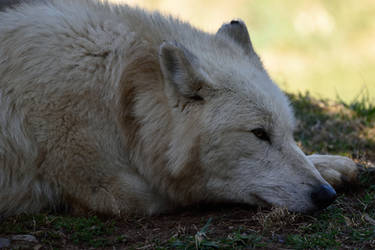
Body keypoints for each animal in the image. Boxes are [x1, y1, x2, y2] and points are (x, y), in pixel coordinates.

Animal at [0, 0, 358, 217]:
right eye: (259, 134)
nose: (325, 195)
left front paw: (330, 165)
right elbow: (189, 189)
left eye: (288, 133)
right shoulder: (111, 189)